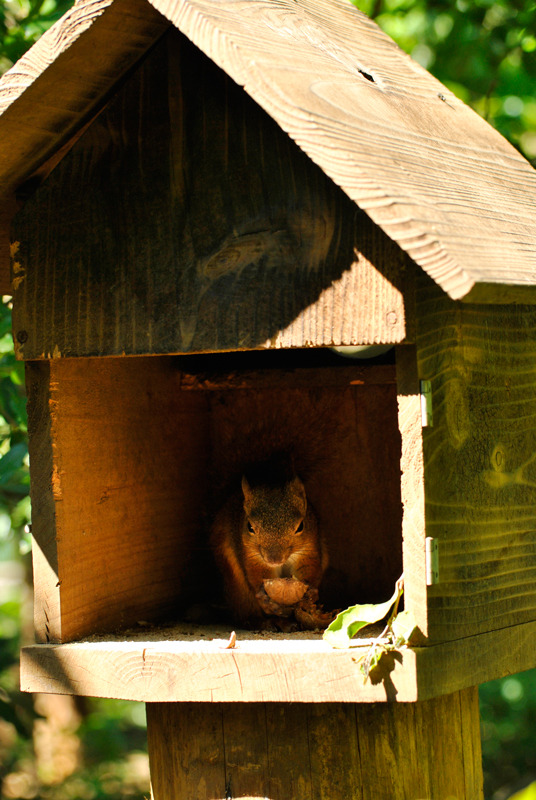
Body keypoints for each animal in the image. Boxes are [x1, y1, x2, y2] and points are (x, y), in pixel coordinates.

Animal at [208, 456, 326, 632]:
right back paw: (269, 622)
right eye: (250, 527)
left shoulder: (309, 549)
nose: (274, 560)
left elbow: (309, 567)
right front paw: (264, 597)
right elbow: (258, 573)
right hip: (239, 592)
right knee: (246, 615)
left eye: (300, 527)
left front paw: (311, 592)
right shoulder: (252, 556)